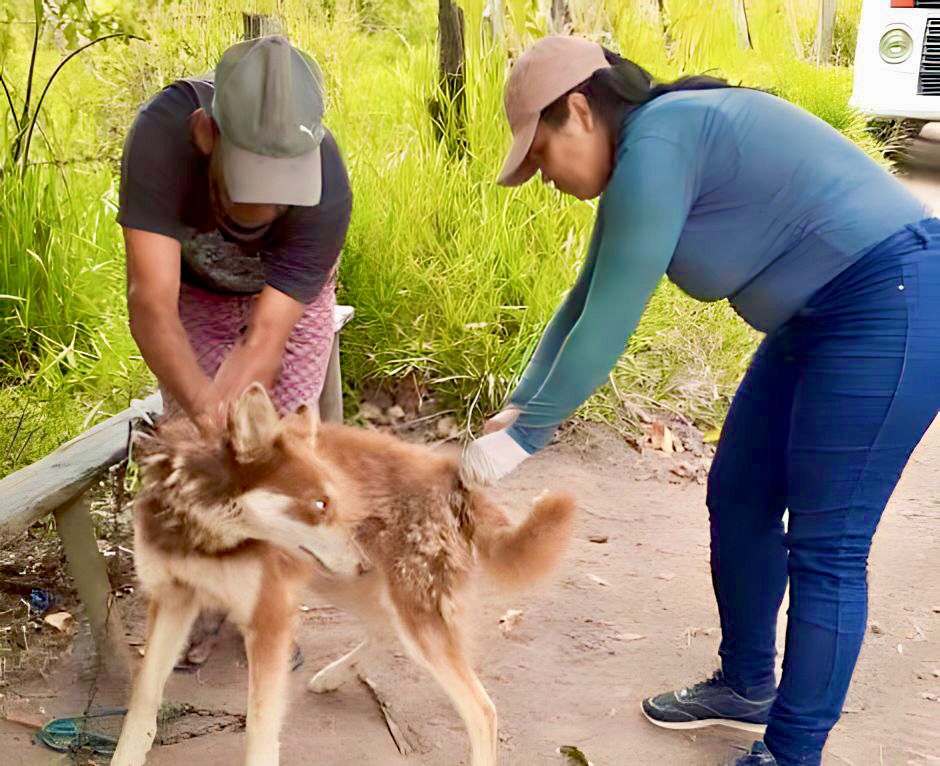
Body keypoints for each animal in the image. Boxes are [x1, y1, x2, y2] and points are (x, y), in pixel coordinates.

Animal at [110, 388, 572, 766]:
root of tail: (452, 476)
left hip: (405, 607)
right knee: (384, 630)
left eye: (332, 502)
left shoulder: (268, 618)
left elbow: (260, 727)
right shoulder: (172, 599)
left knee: (482, 710)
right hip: (344, 583)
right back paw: (333, 675)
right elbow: (142, 699)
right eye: (319, 505)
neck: (203, 538)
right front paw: (127, 756)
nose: (362, 561)